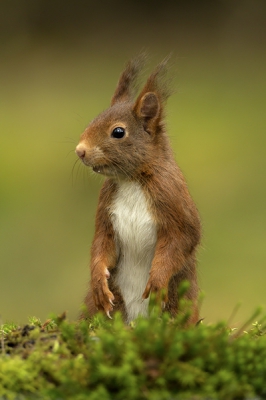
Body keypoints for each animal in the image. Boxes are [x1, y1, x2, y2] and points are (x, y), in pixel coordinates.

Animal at [74, 56, 200, 324]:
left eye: (118, 132)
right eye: (92, 120)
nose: (80, 151)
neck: (131, 180)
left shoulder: (172, 196)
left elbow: (183, 238)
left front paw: (158, 281)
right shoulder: (106, 207)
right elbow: (101, 243)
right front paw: (98, 281)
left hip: (179, 302)